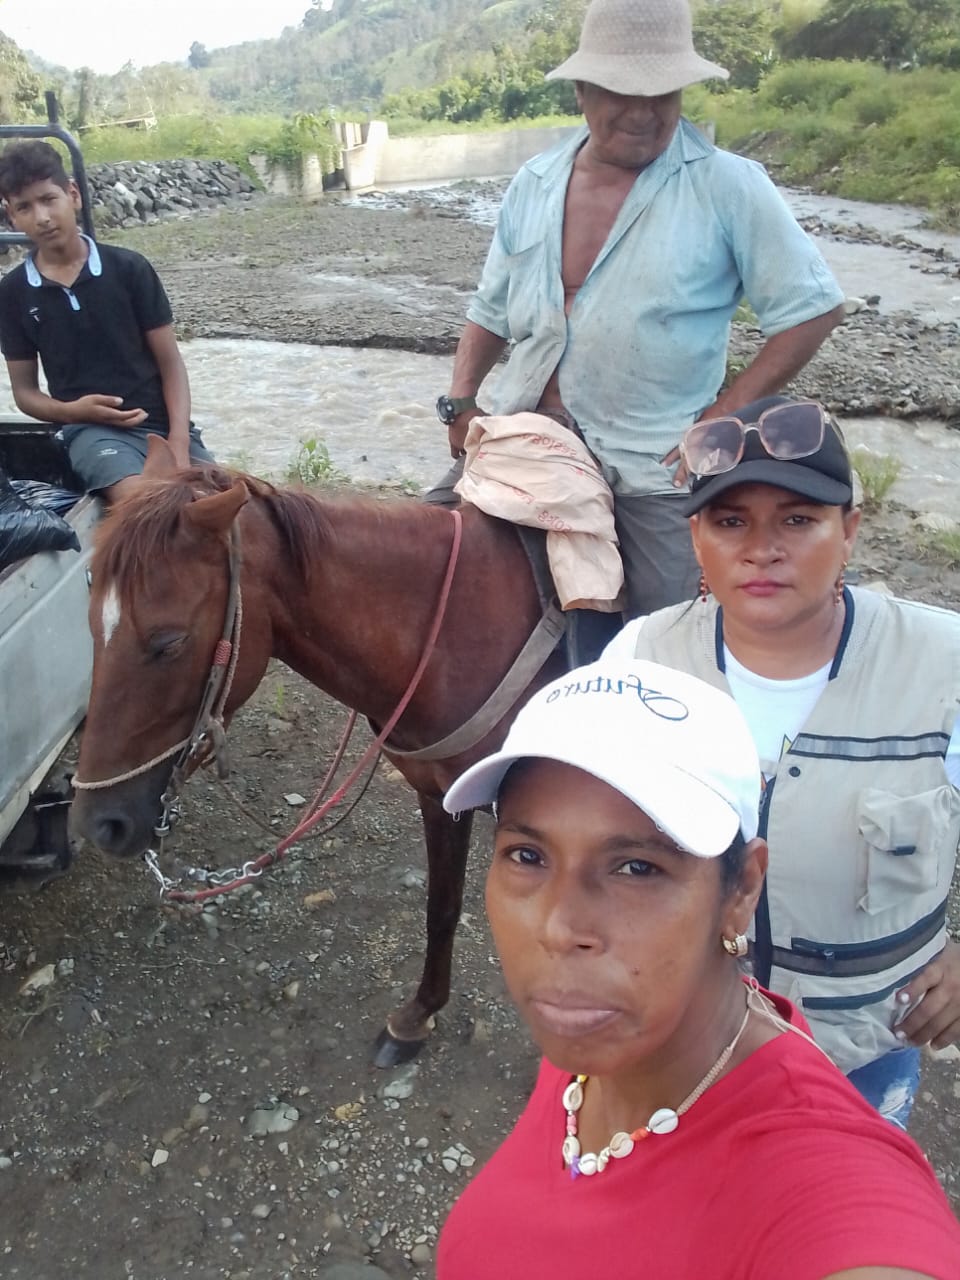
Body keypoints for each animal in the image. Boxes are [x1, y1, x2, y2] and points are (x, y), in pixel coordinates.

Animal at [70, 436, 569, 1066]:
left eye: (168, 642)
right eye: (89, 624)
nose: (98, 824)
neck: (456, 629)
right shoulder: (440, 797)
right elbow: (442, 908)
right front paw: (418, 1015)